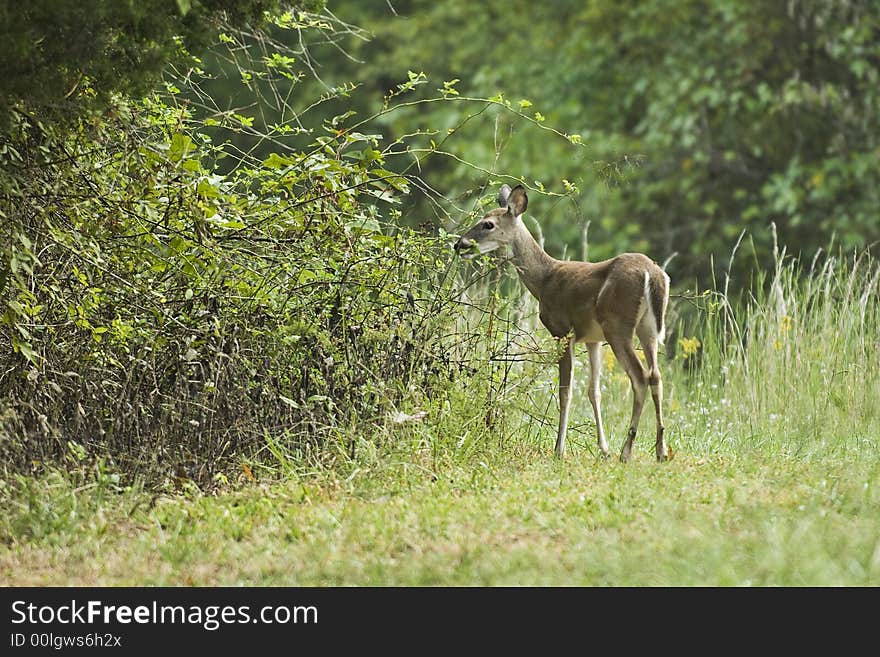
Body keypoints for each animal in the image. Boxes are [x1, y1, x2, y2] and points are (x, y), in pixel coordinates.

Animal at [458, 184, 672, 462]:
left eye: (488, 224)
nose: (459, 244)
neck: (543, 280)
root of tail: (652, 274)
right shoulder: (592, 339)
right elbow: (594, 391)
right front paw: (603, 448)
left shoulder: (562, 331)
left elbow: (565, 392)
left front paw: (559, 449)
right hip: (648, 328)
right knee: (656, 375)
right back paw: (661, 450)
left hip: (618, 326)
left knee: (640, 377)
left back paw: (627, 451)